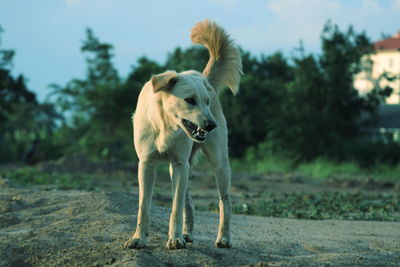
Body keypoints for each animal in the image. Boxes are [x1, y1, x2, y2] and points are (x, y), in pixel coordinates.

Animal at [125, 19, 242, 251]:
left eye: (207, 102)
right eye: (189, 100)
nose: (212, 125)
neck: (165, 126)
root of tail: (202, 75)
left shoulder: (179, 165)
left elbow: (175, 207)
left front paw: (175, 239)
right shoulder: (147, 165)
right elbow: (144, 206)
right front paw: (138, 238)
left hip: (219, 163)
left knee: (225, 200)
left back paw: (224, 238)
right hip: (181, 168)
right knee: (190, 201)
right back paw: (188, 233)